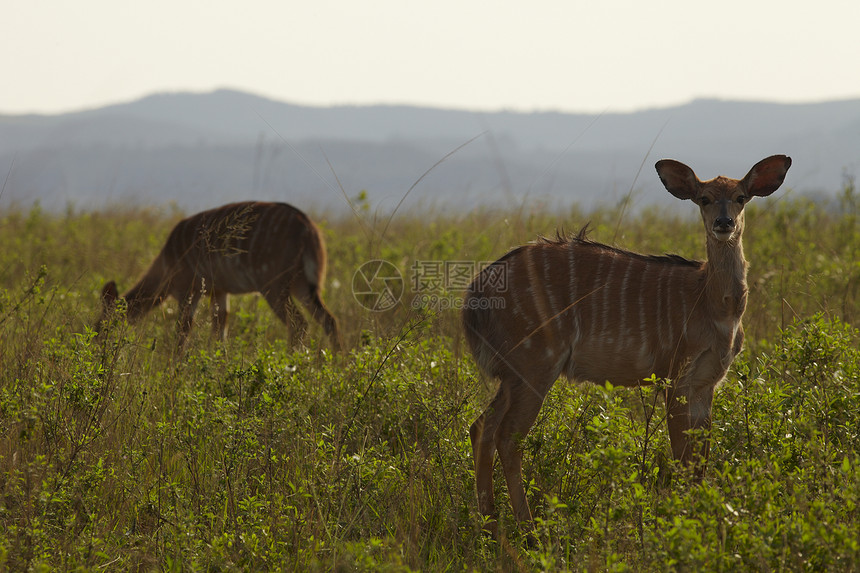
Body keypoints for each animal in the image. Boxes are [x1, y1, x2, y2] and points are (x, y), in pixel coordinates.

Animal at [96, 201, 342, 354]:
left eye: (101, 324)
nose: (96, 346)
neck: (167, 262)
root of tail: (310, 232)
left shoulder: (188, 289)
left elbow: (183, 331)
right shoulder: (219, 291)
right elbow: (220, 332)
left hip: (274, 286)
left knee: (299, 324)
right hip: (304, 286)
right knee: (329, 320)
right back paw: (336, 364)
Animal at [464, 153, 792, 536]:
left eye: (741, 197)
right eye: (704, 198)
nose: (724, 223)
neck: (712, 303)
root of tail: (475, 294)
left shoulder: (707, 382)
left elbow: (701, 461)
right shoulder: (676, 376)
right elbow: (682, 457)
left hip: (513, 374)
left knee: (481, 426)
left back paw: (490, 524)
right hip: (535, 365)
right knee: (507, 435)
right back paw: (528, 530)